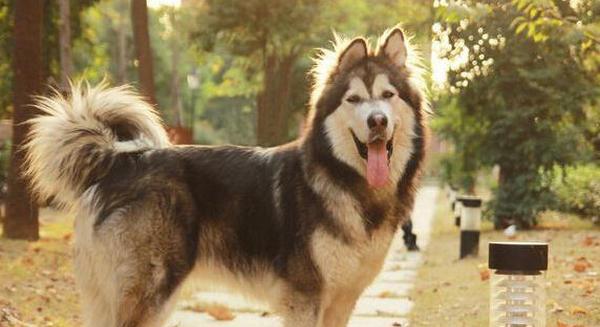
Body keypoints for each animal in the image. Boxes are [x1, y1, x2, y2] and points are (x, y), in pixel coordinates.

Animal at [23, 26, 426, 327]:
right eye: (353, 100)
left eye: (388, 95)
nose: (378, 121)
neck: (342, 178)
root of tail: (122, 162)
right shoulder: (305, 297)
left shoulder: (342, 300)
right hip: (151, 289)